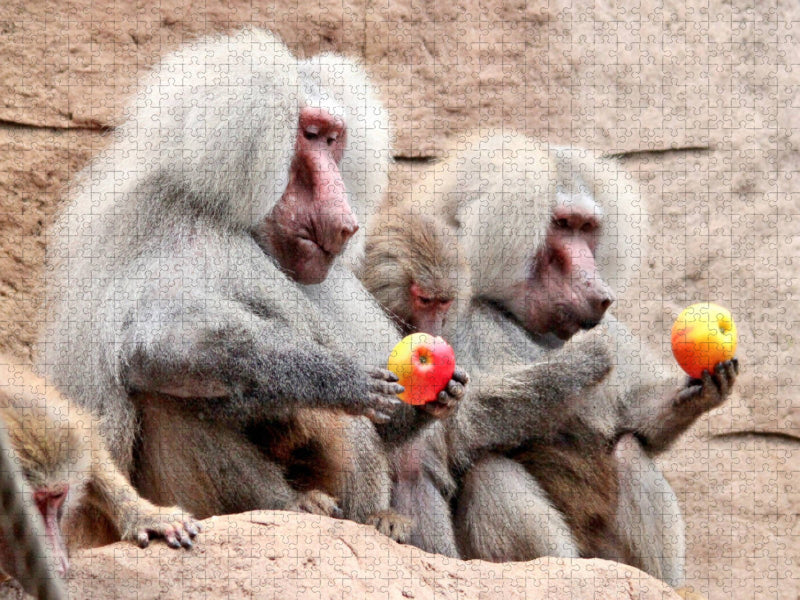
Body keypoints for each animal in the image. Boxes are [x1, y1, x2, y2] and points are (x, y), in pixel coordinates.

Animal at [36, 29, 465, 543]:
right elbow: (156, 339)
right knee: (169, 390)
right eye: (310, 135)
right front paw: (335, 378)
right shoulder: (183, 230)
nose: (346, 222)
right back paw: (292, 504)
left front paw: (439, 396)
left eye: (335, 139)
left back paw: (373, 519)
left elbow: (383, 415)